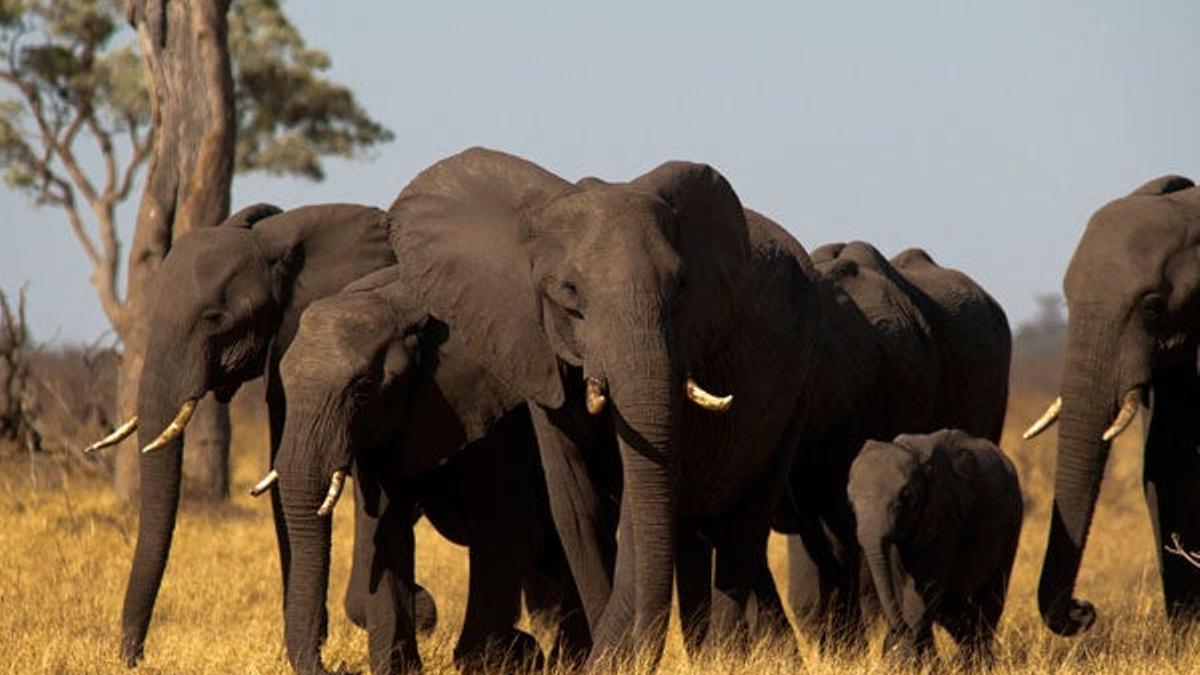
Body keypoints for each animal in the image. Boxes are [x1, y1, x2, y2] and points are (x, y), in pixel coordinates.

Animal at [844, 427, 1022, 658]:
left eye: (907, 499)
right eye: (850, 502)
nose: (900, 630)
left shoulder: (943, 515)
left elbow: (923, 589)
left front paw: (902, 658)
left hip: (1013, 521)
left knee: (990, 598)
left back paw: (979, 660)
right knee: (951, 604)